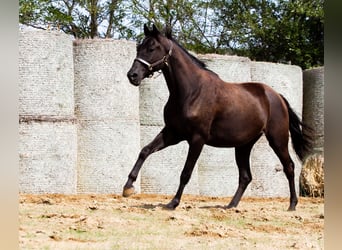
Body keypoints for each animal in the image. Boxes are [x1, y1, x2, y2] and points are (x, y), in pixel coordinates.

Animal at [123, 23, 312, 211]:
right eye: (139, 47)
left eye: (151, 48)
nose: (132, 75)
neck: (191, 92)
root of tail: (277, 96)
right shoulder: (172, 133)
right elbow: (145, 151)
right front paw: (128, 188)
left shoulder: (197, 139)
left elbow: (186, 173)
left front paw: (173, 203)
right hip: (243, 146)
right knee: (246, 176)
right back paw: (231, 205)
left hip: (277, 139)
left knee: (289, 167)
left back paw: (292, 205)